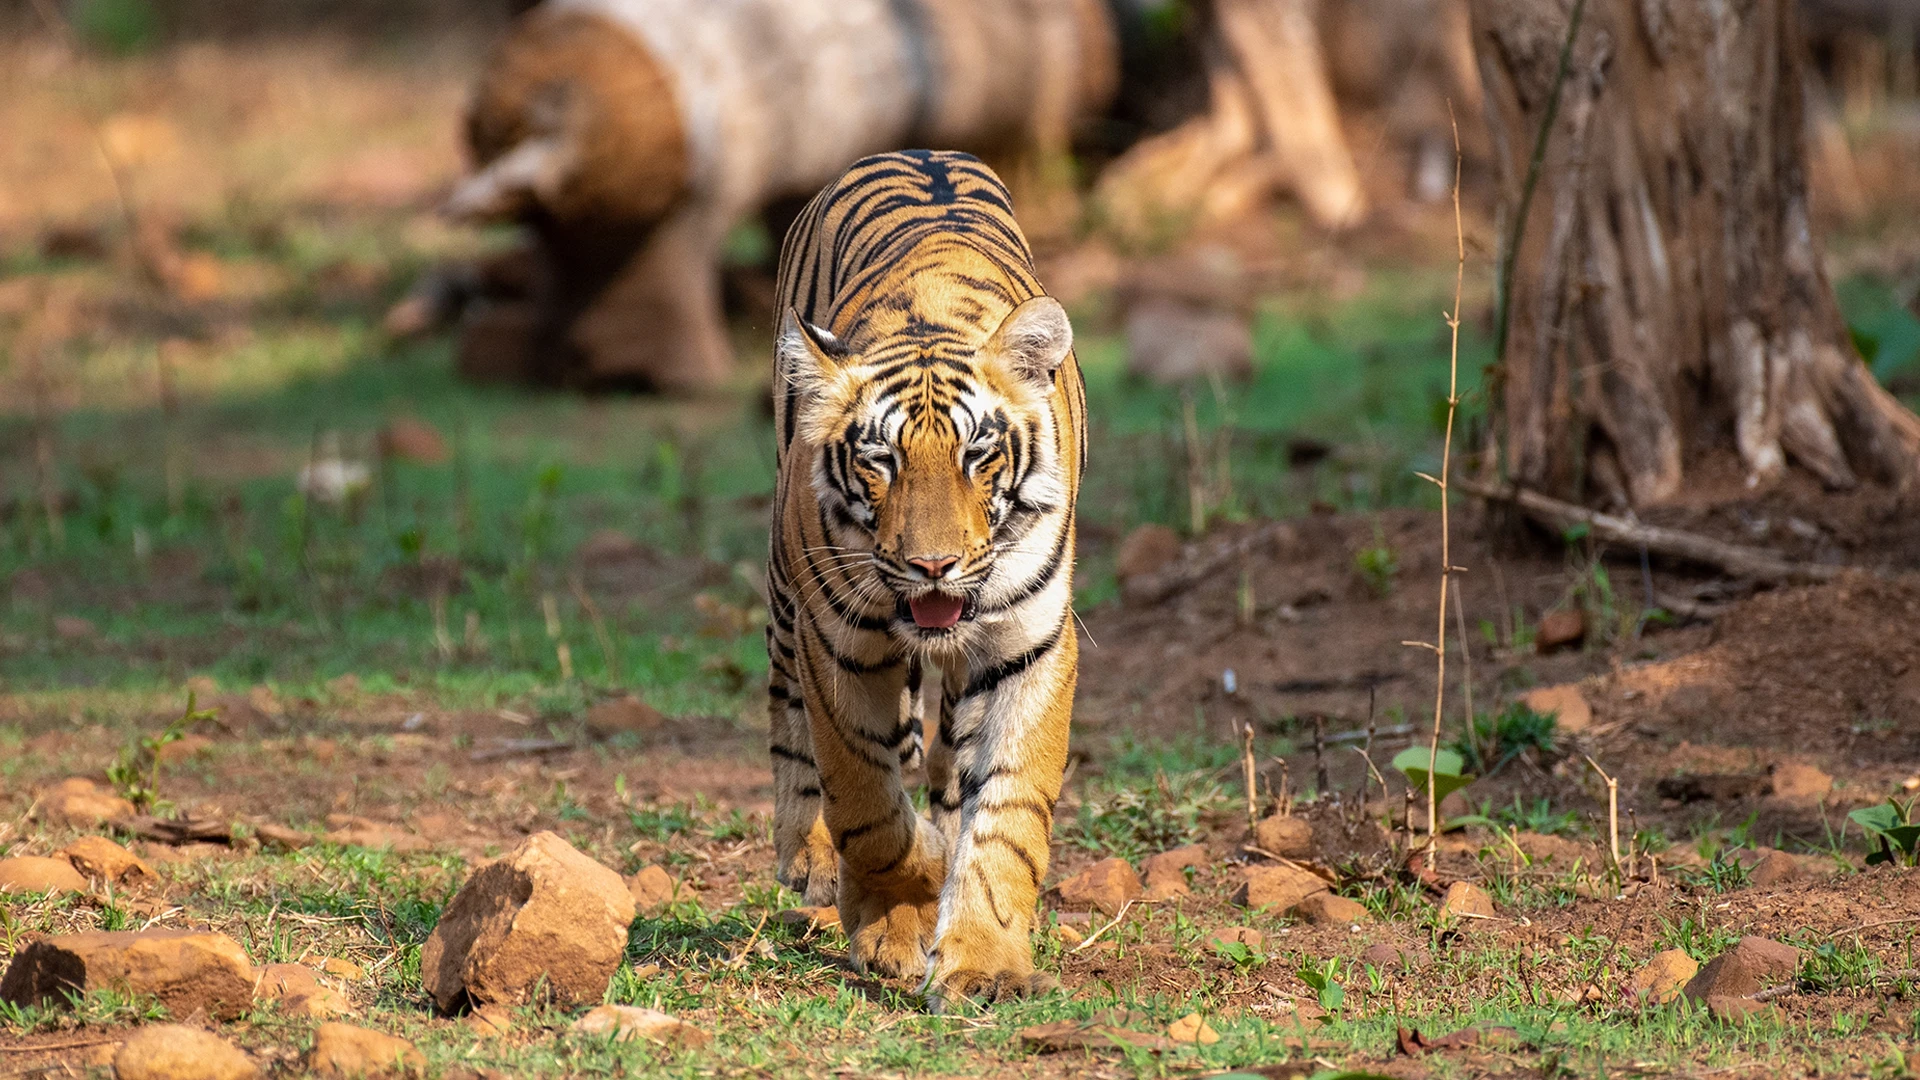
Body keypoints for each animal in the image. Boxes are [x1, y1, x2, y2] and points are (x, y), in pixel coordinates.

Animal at [765, 150, 1086, 1010]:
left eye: (979, 454)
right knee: (787, 713)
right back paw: (808, 855)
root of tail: (913, 151)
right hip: (784, 588)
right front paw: (892, 920)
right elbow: (867, 805)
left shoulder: (1030, 644)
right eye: (881, 459)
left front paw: (984, 960)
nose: (932, 565)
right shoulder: (837, 642)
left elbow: (1007, 812)